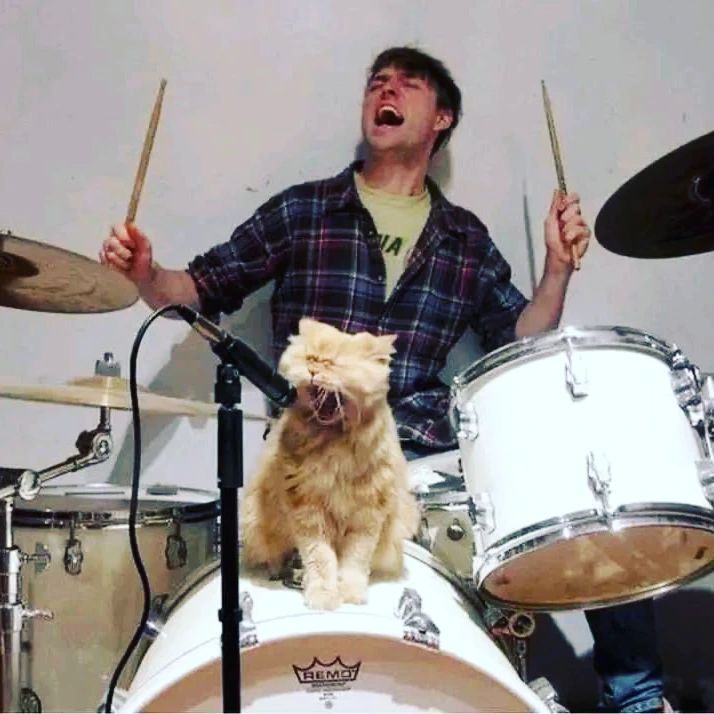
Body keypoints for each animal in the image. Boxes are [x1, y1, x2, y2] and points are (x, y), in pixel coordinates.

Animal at [240, 317, 420, 610]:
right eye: (310, 358)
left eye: (332, 363)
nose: (313, 370)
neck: (333, 446)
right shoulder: (308, 512)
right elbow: (321, 561)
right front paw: (324, 595)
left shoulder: (367, 517)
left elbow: (354, 562)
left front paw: (350, 592)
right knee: (274, 556)